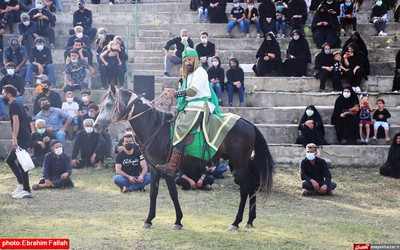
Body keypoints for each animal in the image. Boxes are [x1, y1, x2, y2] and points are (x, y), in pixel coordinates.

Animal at [94, 86, 276, 230]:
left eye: (109, 105)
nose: (96, 125)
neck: (155, 127)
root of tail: (248, 123)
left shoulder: (167, 169)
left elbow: (173, 193)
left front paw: (178, 221)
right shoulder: (154, 168)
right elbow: (153, 193)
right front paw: (148, 220)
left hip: (239, 164)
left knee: (246, 188)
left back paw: (236, 222)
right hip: (238, 163)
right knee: (251, 186)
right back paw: (249, 220)